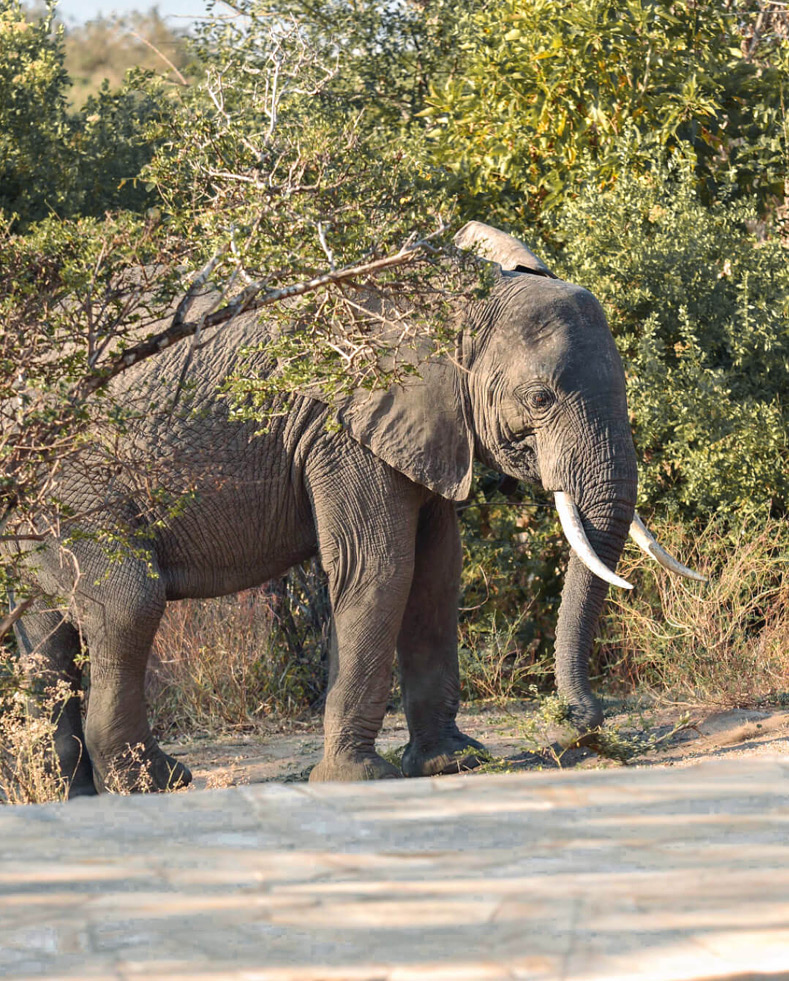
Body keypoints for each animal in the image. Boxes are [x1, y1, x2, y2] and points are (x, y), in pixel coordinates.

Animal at [9, 221, 702, 797]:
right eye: (539, 399)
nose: (577, 725)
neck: (459, 297)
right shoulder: (343, 423)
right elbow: (380, 568)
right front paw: (357, 778)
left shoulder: (426, 426)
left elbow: (435, 576)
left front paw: (452, 763)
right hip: (74, 486)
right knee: (128, 604)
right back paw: (157, 783)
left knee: (48, 630)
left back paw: (73, 794)